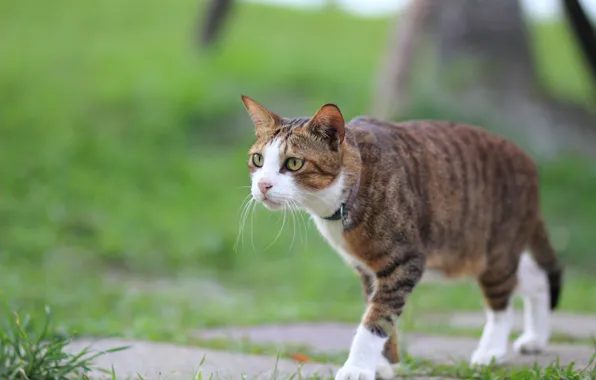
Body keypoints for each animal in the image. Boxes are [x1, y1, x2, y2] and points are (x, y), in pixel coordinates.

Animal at [239, 95, 564, 380]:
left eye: (294, 163)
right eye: (258, 159)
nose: (263, 185)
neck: (347, 193)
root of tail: (529, 162)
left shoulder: (405, 261)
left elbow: (375, 319)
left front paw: (358, 367)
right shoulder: (368, 269)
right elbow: (381, 314)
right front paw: (384, 364)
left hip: (494, 248)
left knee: (501, 304)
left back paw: (492, 351)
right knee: (535, 278)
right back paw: (536, 337)